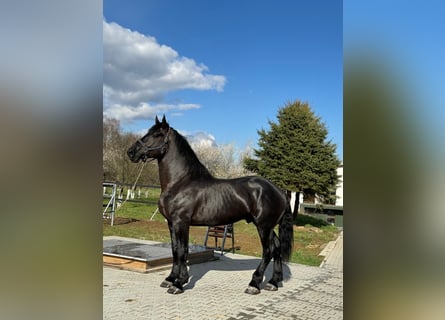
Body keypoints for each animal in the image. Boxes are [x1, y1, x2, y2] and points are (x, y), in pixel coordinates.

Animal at [126, 116, 294, 294]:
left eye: (157, 134)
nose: (131, 152)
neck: (181, 182)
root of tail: (279, 190)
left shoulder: (181, 223)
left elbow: (182, 251)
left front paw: (179, 283)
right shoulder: (171, 223)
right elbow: (175, 250)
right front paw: (170, 279)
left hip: (264, 226)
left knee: (268, 250)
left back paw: (254, 284)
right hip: (266, 226)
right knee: (277, 247)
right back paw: (273, 282)